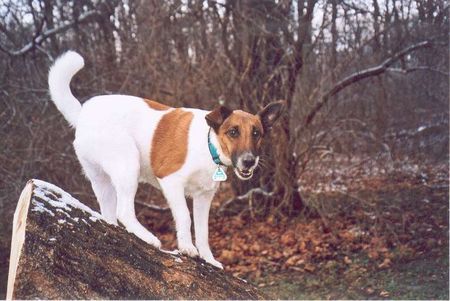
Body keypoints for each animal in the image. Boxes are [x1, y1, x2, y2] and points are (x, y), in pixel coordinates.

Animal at [47, 51, 284, 268]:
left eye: (256, 133)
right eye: (233, 132)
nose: (249, 161)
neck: (209, 145)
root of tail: (83, 114)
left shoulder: (204, 197)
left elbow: (203, 231)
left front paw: (208, 258)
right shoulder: (171, 182)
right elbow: (185, 217)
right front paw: (187, 248)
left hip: (101, 180)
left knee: (109, 213)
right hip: (128, 164)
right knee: (124, 210)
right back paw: (148, 237)